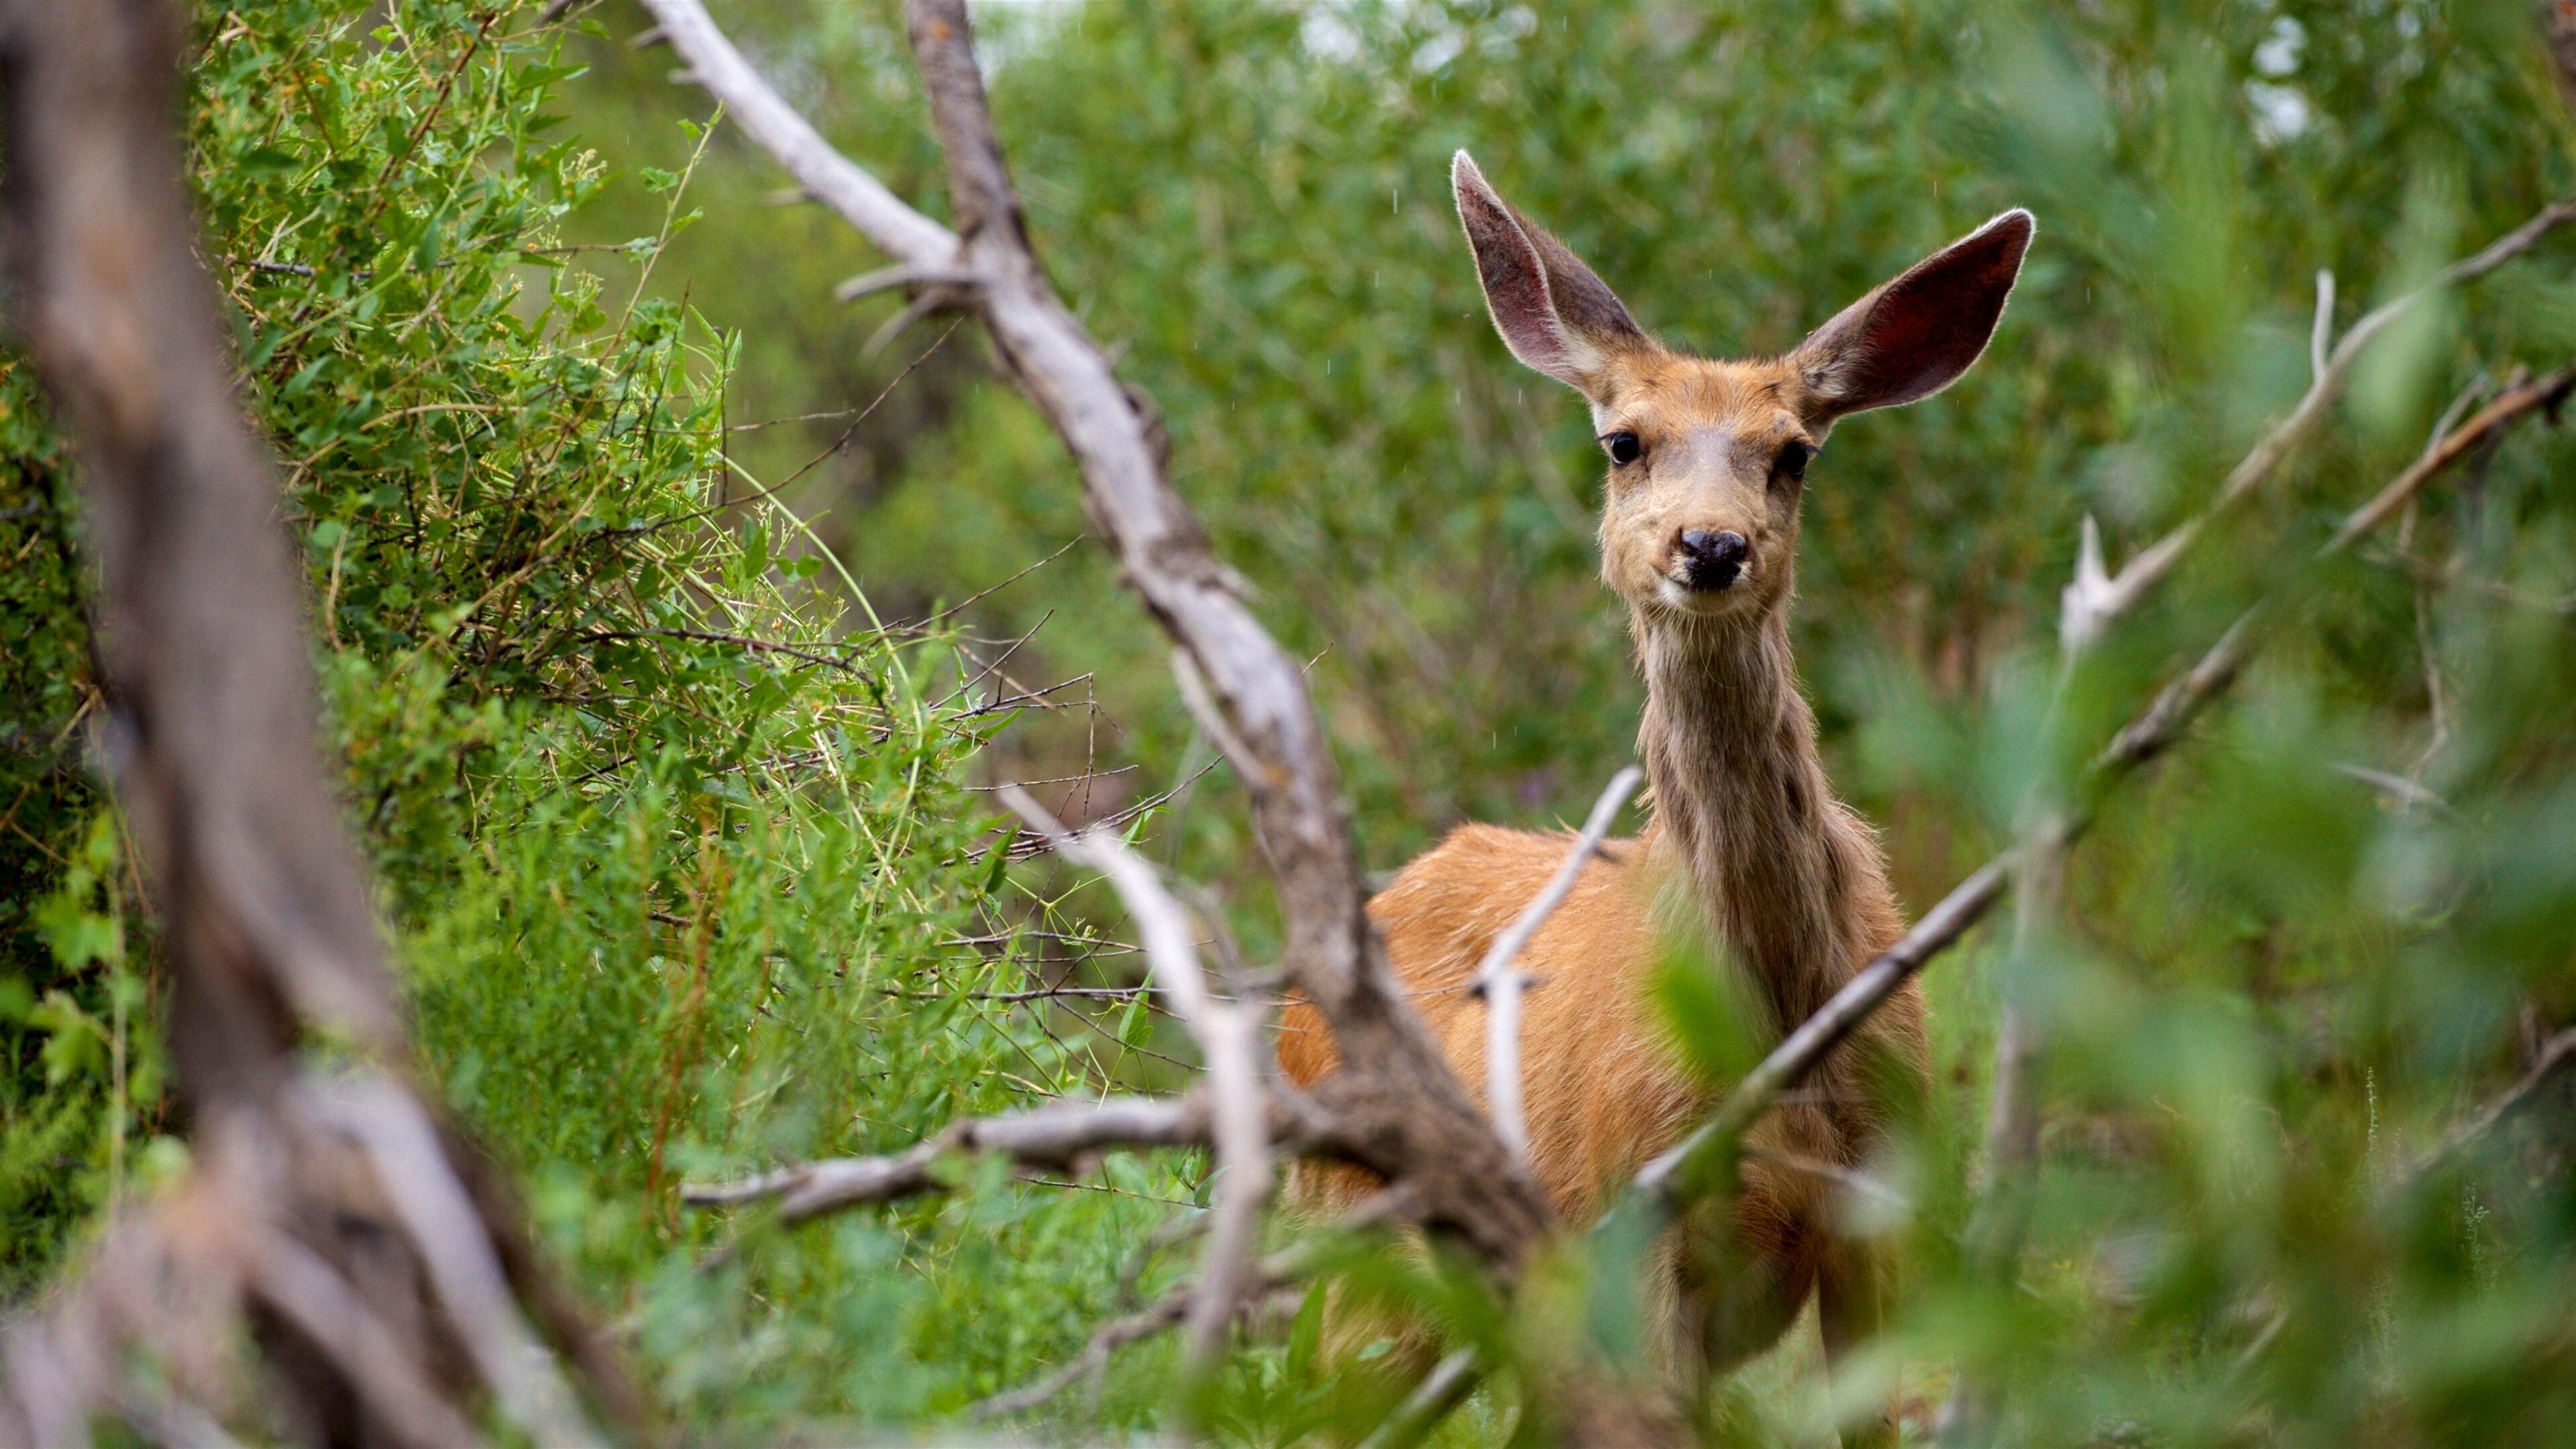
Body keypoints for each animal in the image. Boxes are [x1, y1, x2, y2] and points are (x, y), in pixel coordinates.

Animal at [1277, 152, 2032, 1442]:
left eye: (1794, 451)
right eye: (1624, 441)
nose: (1711, 546)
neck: (1773, 1024)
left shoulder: (1879, 1215)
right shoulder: (1636, 1231)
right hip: (1358, 1248)